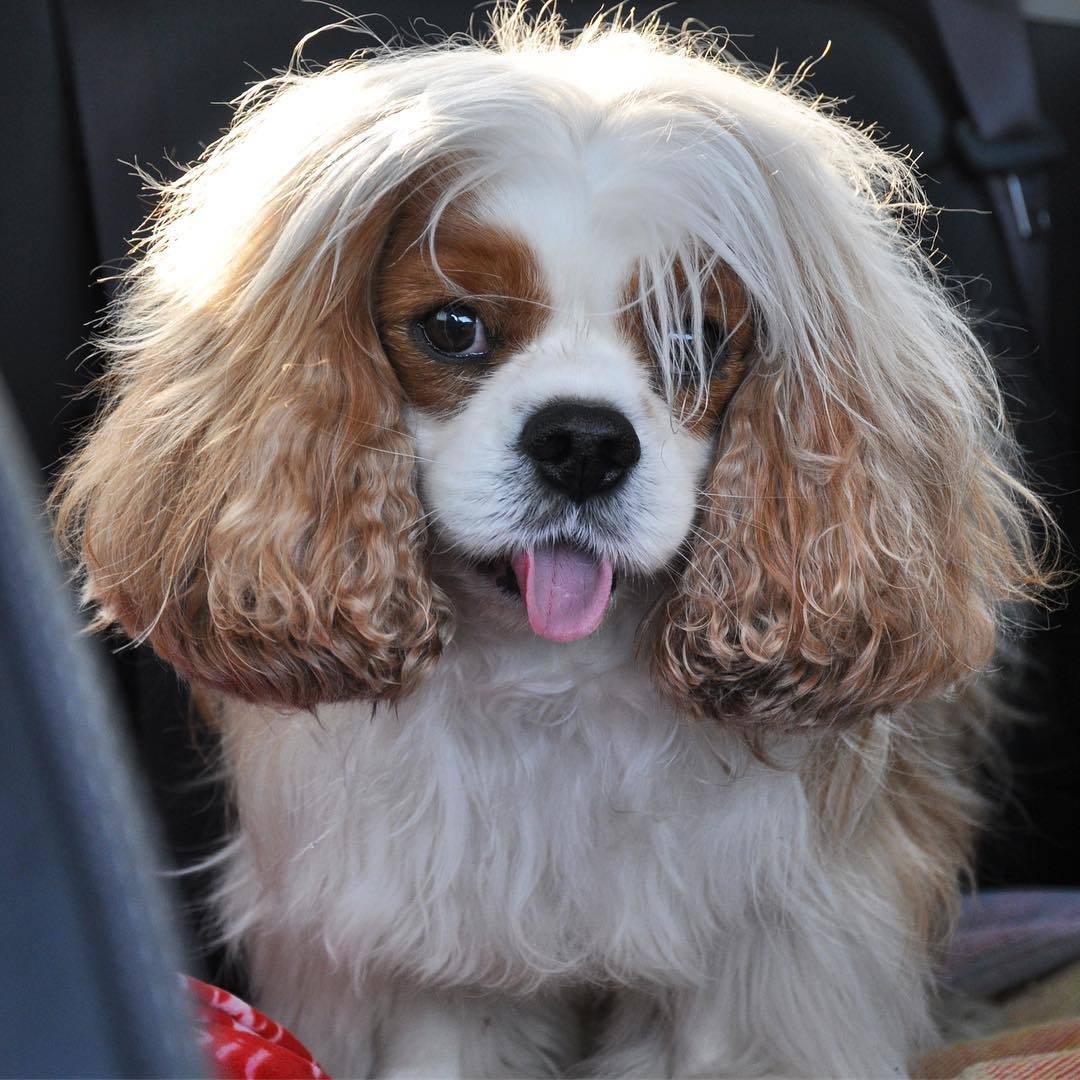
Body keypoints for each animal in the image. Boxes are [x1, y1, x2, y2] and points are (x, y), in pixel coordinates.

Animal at [52, 10, 1054, 1080]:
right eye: (452, 327)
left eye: (693, 343)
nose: (583, 443)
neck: (551, 685)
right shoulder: (437, 957)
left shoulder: (771, 960)